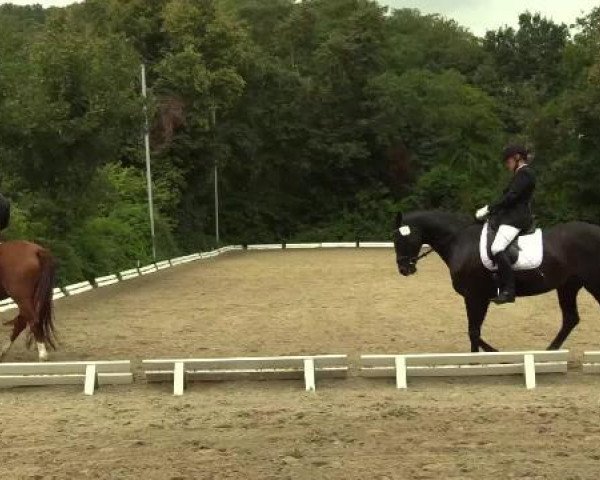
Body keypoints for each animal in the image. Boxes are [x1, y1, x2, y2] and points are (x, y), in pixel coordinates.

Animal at [394, 210, 600, 352]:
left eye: (401, 239)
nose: (404, 270)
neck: (459, 242)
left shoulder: (475, 296)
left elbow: (473, 331)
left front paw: (478, 358)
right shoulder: (478, 297)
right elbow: (474, 330)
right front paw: (491, 353)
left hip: (591, 283)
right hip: (568, 285)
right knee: (570, 319)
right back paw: (549, 352)